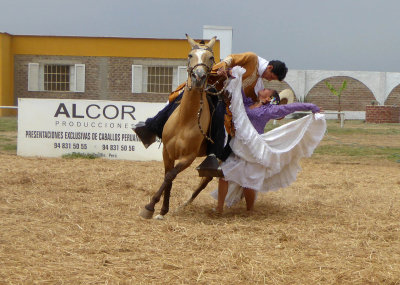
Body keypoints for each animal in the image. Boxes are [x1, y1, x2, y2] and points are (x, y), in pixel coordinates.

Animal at [138, 33, 219, 220]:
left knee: (207, 179)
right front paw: (162, 210)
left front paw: (150, 207)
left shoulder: (188, 158)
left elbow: (170, 176)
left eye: (210, 57)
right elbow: (168, 177)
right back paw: (184, 205)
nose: (198, 77)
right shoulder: (167, 152)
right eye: (190, 55)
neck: (185, 120)